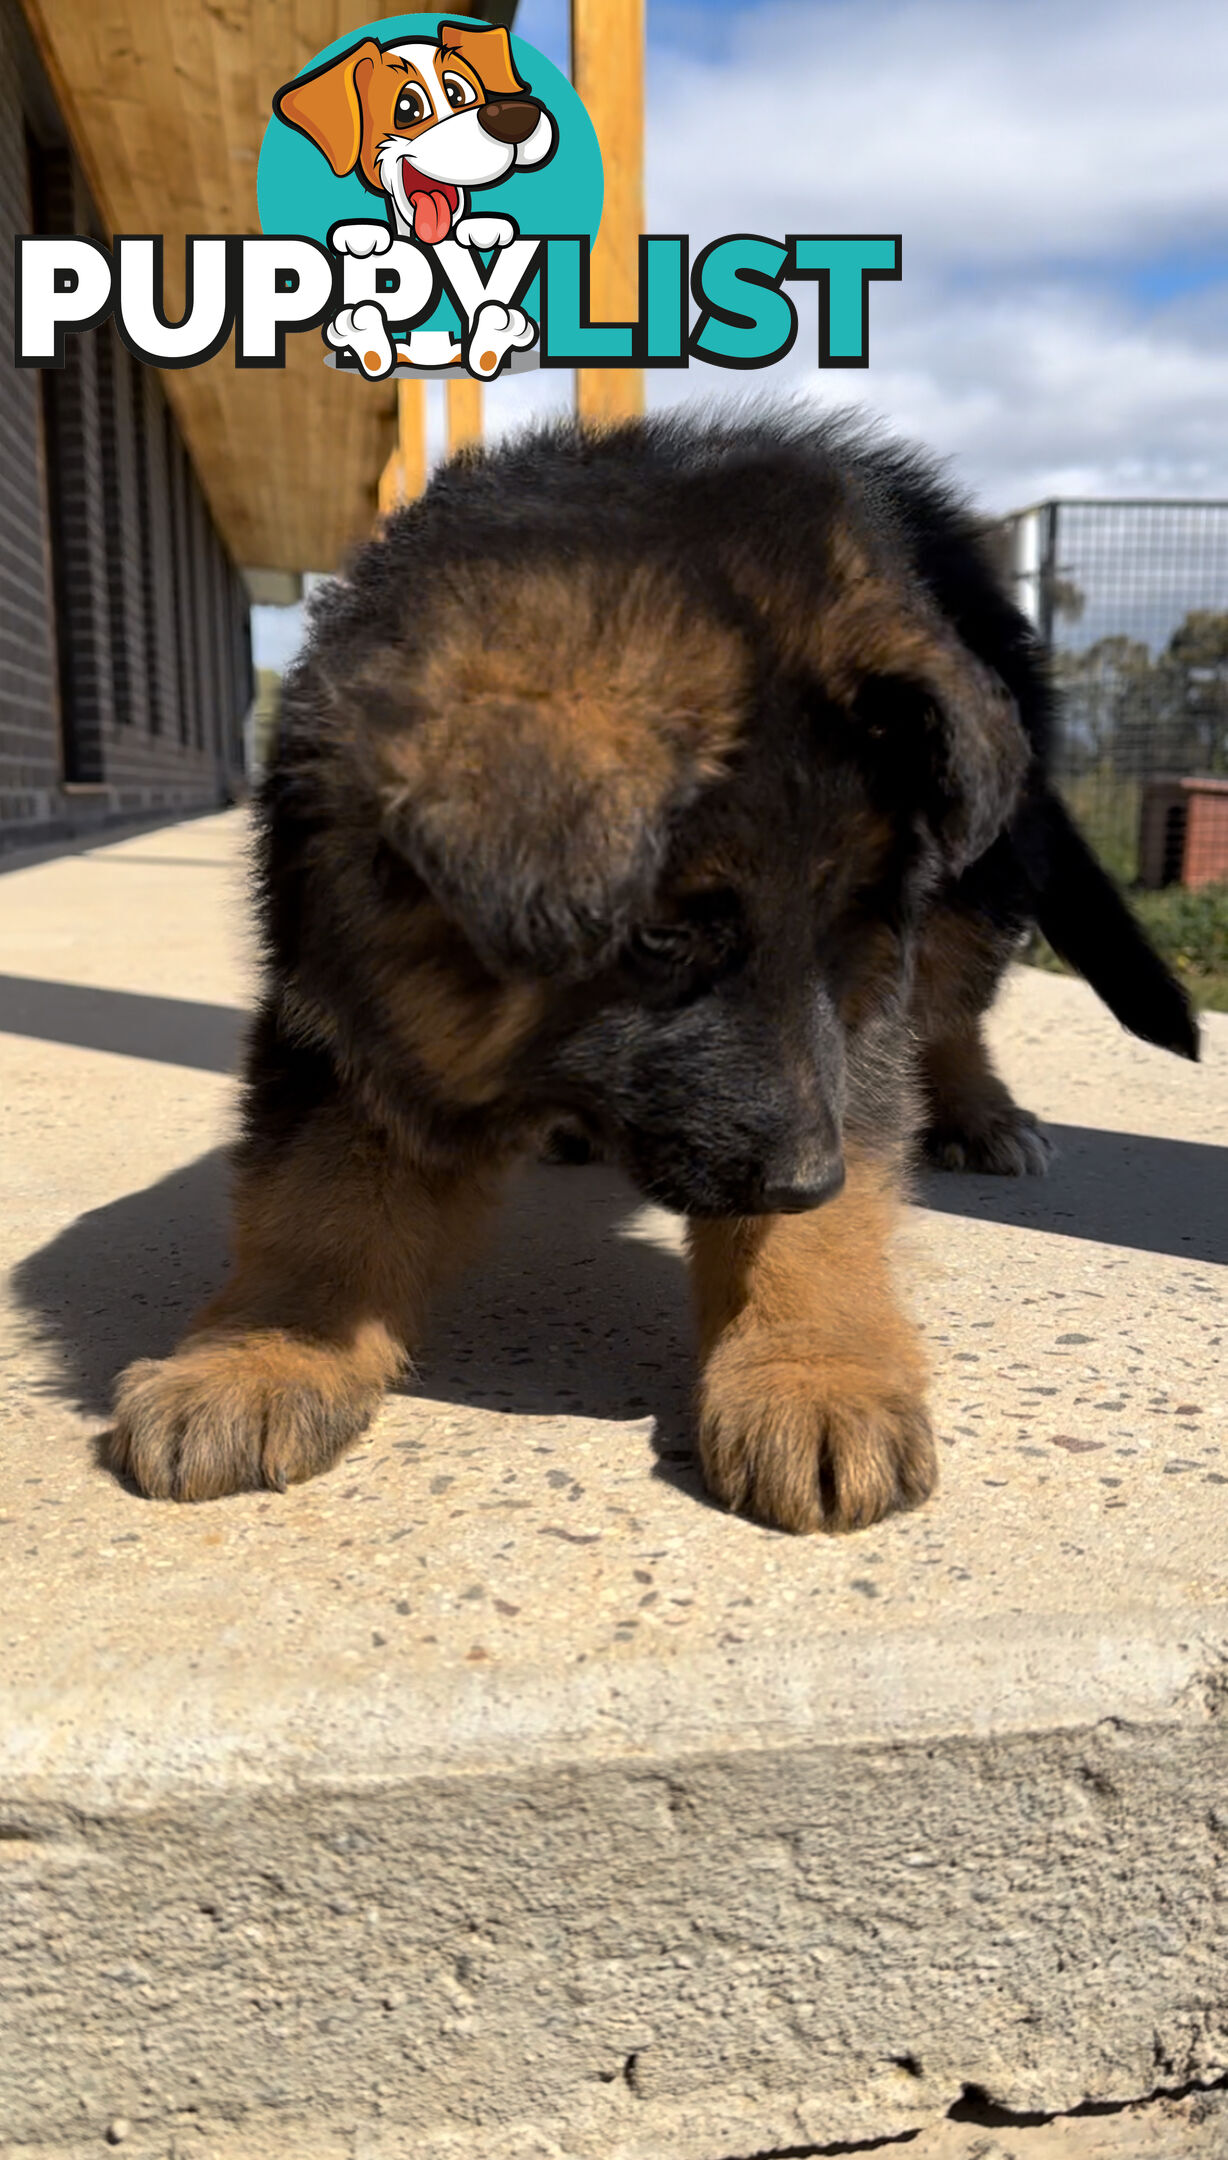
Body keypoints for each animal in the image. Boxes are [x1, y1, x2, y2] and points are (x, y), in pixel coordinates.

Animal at [107, 412, 1199, 1529]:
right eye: (664, 939)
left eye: (845, 928)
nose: (808, 1178)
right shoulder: (343, 994)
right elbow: (316, 1191)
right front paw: (266, 1353)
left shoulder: (854, 1015)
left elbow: (837, 1188)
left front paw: (811, 1370)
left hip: (976, 878)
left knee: (956, 1004)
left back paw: (981, 1113)